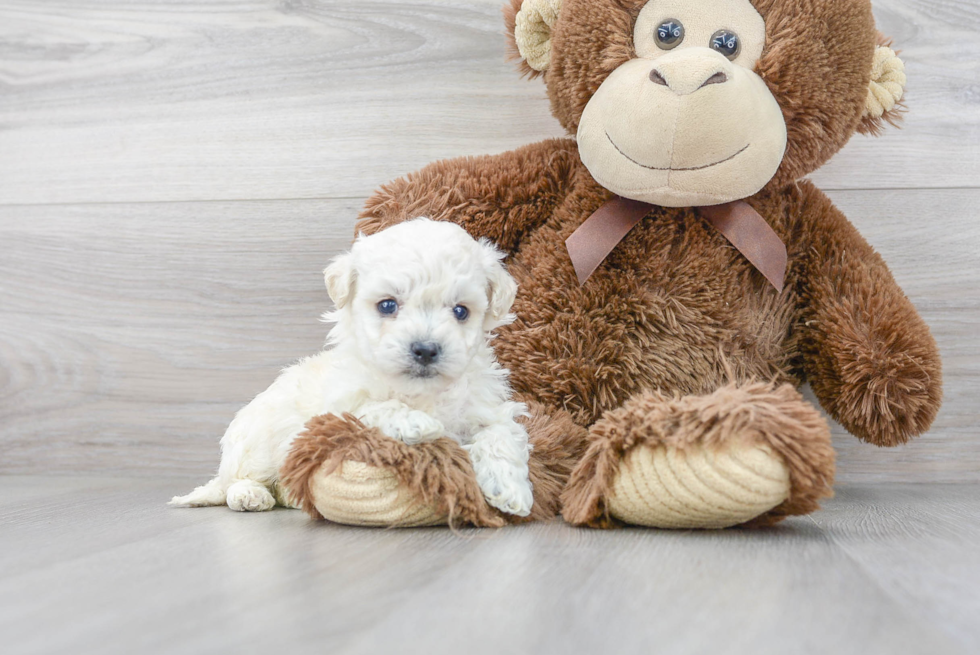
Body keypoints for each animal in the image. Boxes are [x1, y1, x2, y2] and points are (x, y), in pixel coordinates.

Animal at [170, 219, 536, 516]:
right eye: (387, 305)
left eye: (461, 311)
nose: (425, 349)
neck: (419, 393)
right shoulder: (337, 408)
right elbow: (374, 407)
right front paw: (416, 423)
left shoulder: (487, 408)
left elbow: (501, 434)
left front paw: (510, 490)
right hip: (257, 440)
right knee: (238, 479)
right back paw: (250, 495)